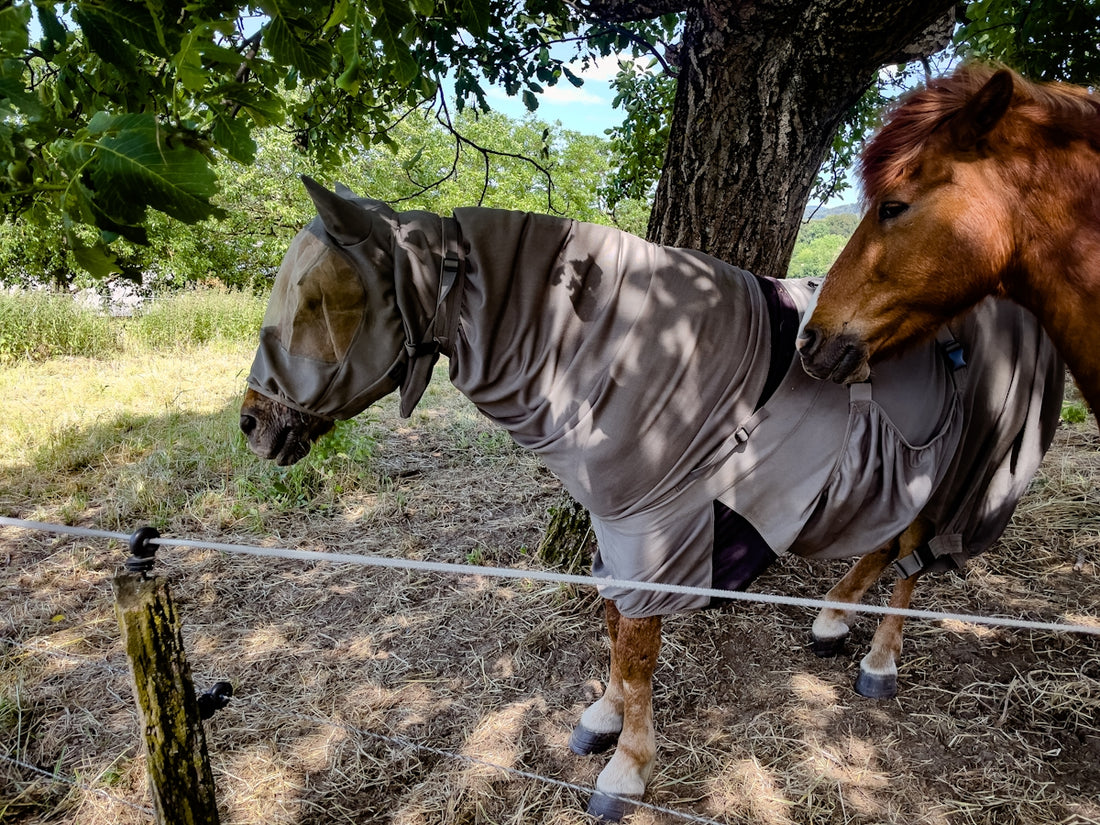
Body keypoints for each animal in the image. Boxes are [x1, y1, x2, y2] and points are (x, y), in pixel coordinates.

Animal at [240, 177, 1062, 821]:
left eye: (316, 298)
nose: (252, 423)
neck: (635, 353)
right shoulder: (619, 528)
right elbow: (611, 629)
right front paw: (602, 717)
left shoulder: (653, 532)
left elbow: (636, 651)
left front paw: (626, 771)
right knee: (887, 544)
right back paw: (830, 621)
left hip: (953, 471)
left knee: (914, 560)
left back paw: (880, 661)